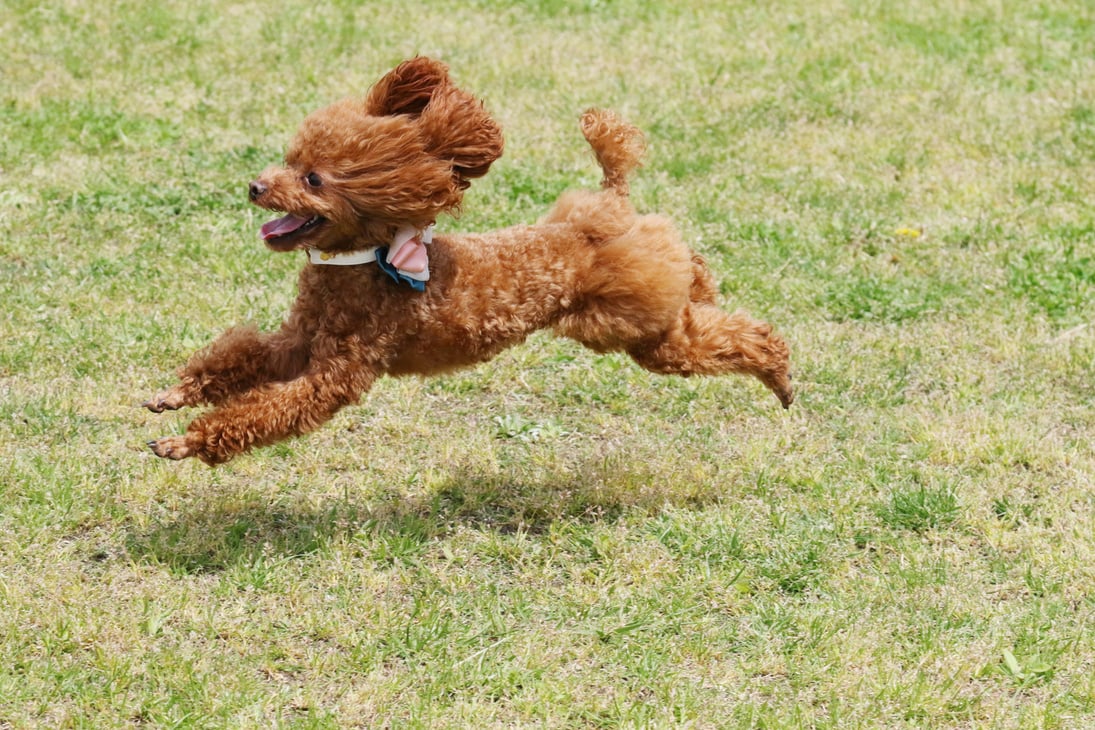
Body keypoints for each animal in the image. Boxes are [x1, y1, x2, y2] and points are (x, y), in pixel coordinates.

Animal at [147, 59, 797, 466]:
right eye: (289, 159)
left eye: (313, 178)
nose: (256, 187)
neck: (367, 259)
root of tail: (609, 204)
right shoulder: (297, 343)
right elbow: (239, 360)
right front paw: (175, 396)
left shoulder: (333, 373)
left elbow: (266, 409)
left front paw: (184, 444)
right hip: (644, 305)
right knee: (697, 282)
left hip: (635, 326)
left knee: (740, 337)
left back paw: (782, 378)